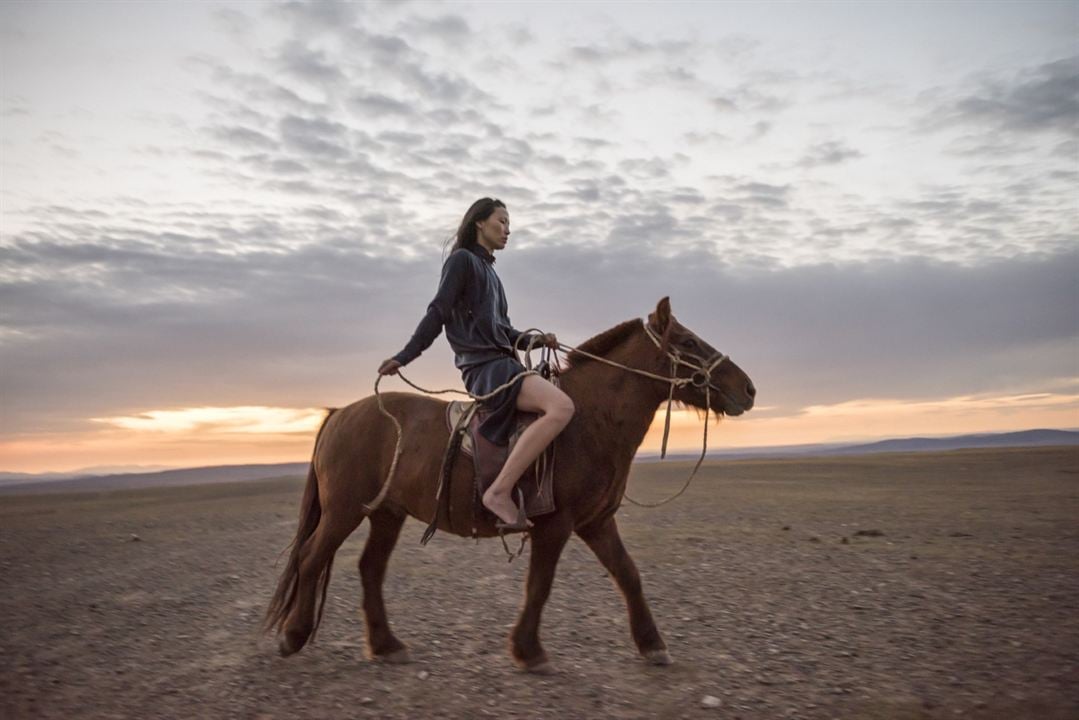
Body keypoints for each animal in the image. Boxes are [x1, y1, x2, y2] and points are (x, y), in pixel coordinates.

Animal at [265, 295, 755, 673]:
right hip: (345, 510)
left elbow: (628, 575)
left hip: (386, 514)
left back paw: (387, 645)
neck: (589, 420)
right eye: (688, 342)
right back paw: (293, 636)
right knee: (312, 558)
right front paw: (529, 651)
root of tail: (338, 415)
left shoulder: (596, 523)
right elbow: (540, 585)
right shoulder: (555, 525)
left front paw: (653, 645)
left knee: (369, 568)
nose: (749, 389)